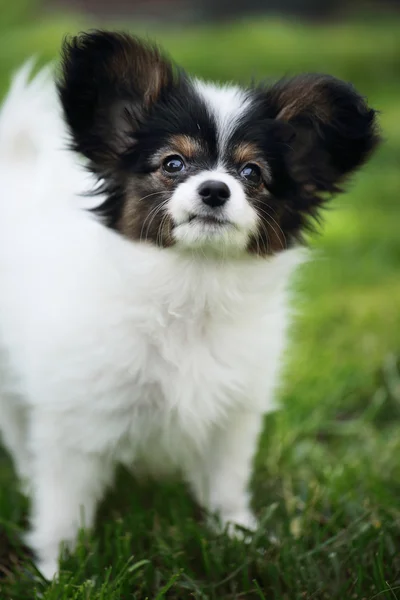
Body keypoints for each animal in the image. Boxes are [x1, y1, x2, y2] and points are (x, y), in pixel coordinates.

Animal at [0, 31, 378, 576]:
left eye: (252, 172)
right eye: (173, 164)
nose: (216, 189)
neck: (192, 289)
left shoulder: (232, 414)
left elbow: (225, 485)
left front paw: (240, 538)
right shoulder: (77, 419)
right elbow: (64, 505)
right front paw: (60, 568)